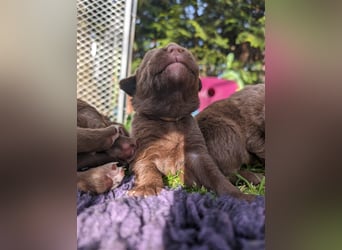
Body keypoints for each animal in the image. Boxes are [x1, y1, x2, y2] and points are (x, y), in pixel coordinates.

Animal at [120, 42, 254, 200]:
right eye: (151, 54)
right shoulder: (144, 152)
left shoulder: (198, 154)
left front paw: (237, 195)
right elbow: (147, 168)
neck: (170, 118)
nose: (174, 48)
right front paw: (147, 187)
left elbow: (215, 175)